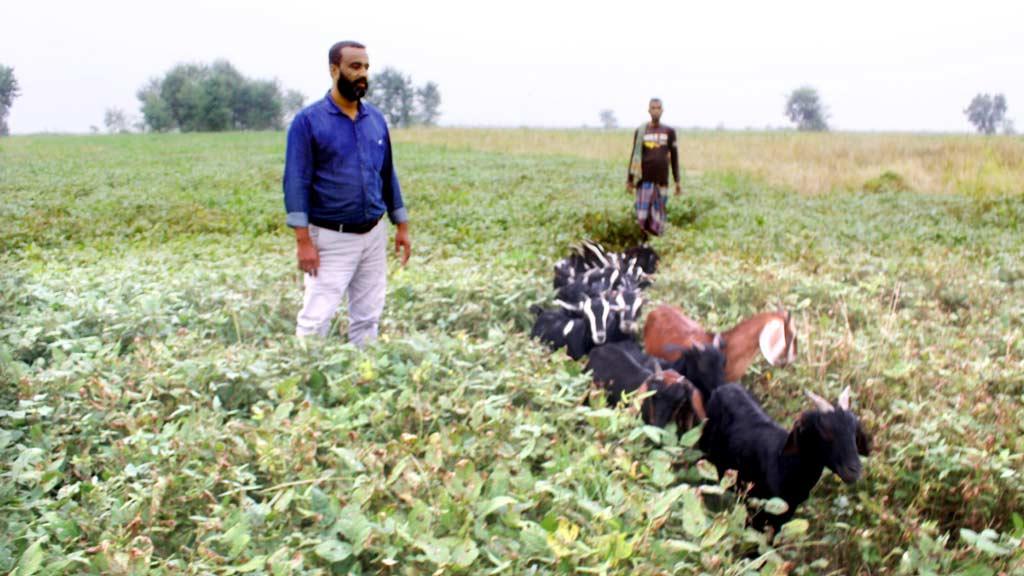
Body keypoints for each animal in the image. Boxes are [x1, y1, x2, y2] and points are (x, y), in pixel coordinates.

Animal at [704, 385, 872, 528]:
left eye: (855, 432)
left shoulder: (786, 511)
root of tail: (723, 386)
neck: (784, 464)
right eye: (824, 430)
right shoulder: (755, 506)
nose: (854, 470)